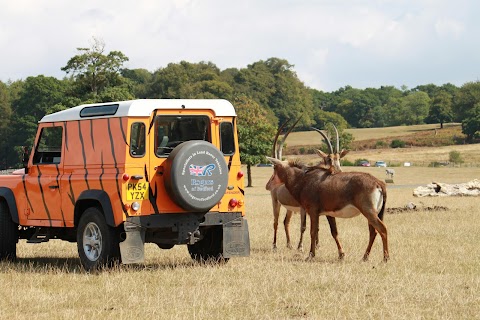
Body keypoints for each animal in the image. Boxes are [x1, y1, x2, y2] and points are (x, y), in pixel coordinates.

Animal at [266, 121, 344, 258]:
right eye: (329, 159)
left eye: (339, 158)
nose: (338, 172)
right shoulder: (304, 208)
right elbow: (303, 226)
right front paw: (301, 247)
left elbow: (317, 228)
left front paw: (317, 246)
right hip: (276, 203)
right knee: (276, 222)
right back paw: (275, 246)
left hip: (289, 209)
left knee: (286, 222)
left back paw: (289, 245)